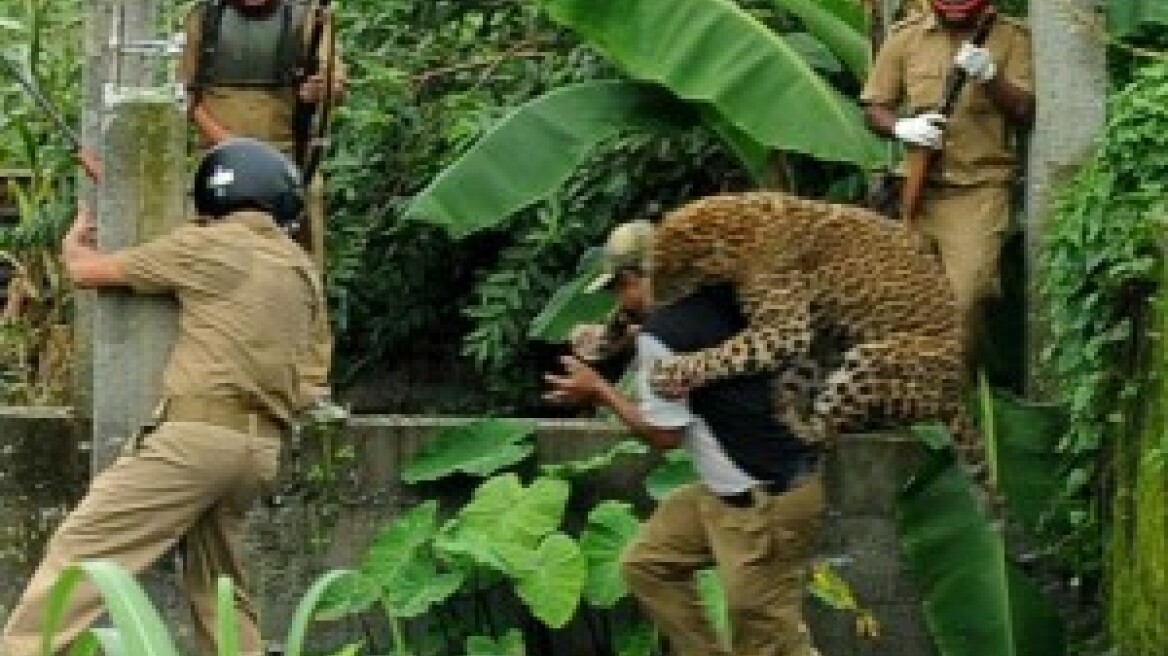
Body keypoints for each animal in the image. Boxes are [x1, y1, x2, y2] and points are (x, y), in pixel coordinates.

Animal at [649, 191, 976, 466]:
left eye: (668, 274)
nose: (651, 304)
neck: (738, 223)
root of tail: (954, 396)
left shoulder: (786, 329)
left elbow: (725, 353)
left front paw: (669, 372)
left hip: (875, 359)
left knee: (828, 432)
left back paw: (802, 433)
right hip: (830, 346)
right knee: (798, 390)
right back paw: (784, 412)